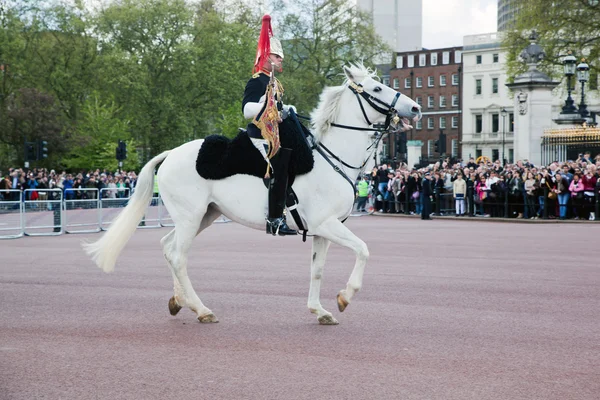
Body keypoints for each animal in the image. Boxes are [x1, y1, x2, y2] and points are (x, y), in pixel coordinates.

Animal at [83, 63, 422, 324]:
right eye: (376, 88)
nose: (416, 108)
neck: (332, 157)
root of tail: (169, 154)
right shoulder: (326, 225)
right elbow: (363, 250)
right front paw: (345, 297)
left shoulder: (324, 230)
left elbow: (318, 270)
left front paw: (320, 310)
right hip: (191, 217)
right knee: (178, 256)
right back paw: (202, 309)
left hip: (203, 216)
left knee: (169, 248)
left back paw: (180, 302)